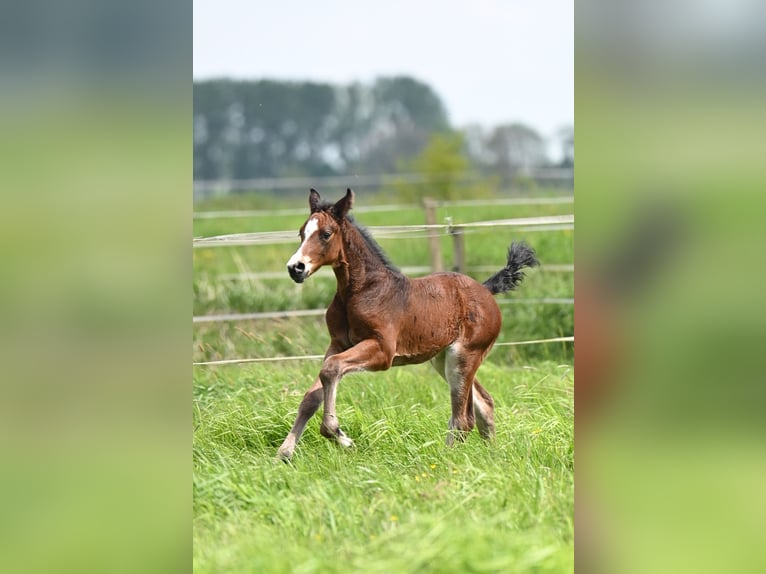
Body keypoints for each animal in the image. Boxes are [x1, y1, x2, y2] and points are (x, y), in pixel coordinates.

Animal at [278, 191, 540, 462]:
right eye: (301, 232)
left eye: (326, 234)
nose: (295, 268)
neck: (360, 291)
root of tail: (486, 290)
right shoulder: (338, 344)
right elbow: (313, 393)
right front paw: (285, 452)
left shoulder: (383, 351)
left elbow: (331, 369)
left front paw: (341, 438)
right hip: (443, 359)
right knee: (484, 403)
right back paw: (492, 454)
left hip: (464, 356)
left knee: (462, 419)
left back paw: (445, 459)